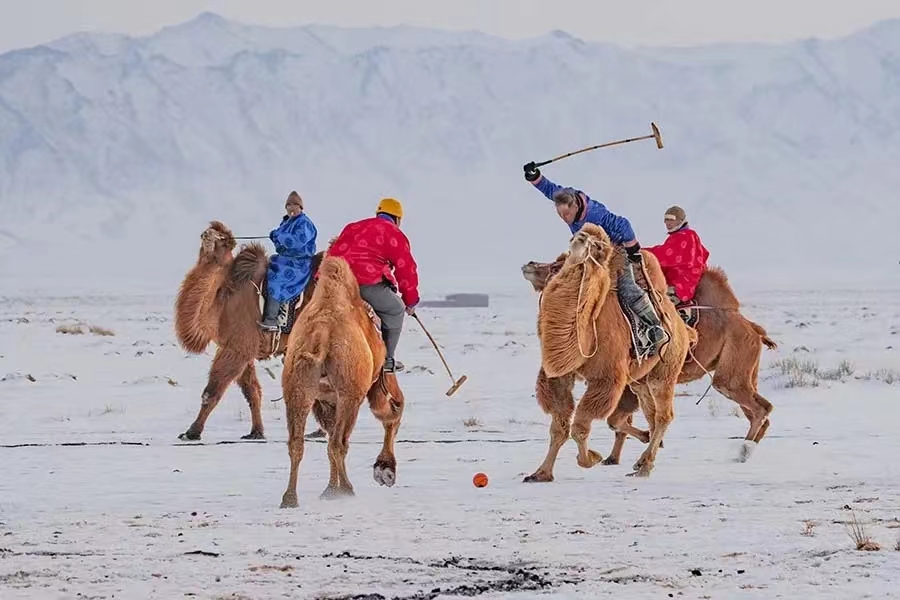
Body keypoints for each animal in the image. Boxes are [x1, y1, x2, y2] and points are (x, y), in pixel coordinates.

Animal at [172, 220, 324, 440]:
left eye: (222, 240)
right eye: (206, 234)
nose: (206, 235)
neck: (223, 300)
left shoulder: (237, 348)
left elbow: (212, 392)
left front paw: (192, 432)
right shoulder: (238, 349)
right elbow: (253, 392)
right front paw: (256, 432)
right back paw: (320, 431)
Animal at [278, 253, 404, 506]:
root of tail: (321, 335)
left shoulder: (324, 400)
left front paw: (330, 489)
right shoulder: (375, 383)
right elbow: (391, 414)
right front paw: (385, 470)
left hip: (298, 389)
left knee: (297, 442)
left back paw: (290, 498)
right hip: (351, 393)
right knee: (340, 442)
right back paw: (348, 488)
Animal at [524, 223, 692, 480]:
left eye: (597, 247)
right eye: (557, 261)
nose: (530, 264)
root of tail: (683, 327)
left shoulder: (606, 378)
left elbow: (580, 426)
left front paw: (590, 459)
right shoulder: (558, 377)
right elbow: (559, 427)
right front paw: (541, 473)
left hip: (665, 371)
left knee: (664, 415)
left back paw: (645, 465)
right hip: (639, 379)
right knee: (650, 412)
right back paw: (642, 456)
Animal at [524, 253, 776, 464]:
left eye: (555, 266)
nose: (530, 264)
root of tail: (754, 329)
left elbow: (617, 419)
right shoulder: (634, 380)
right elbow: (627, 419)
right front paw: (618, 455)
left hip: (730, 371)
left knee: (757, 406)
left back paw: (744, 451)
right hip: (744, 370)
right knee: (759, 408)